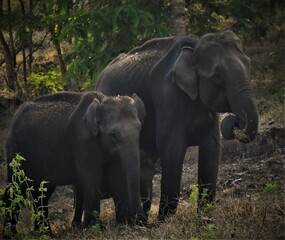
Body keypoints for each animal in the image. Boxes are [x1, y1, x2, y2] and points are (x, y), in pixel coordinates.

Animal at [3, 91, 146, 235]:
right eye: (113, 135)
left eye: (140, 130)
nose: (139, 222)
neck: (102, 101)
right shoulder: (82, 140)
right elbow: (92, 177)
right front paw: (96, 229)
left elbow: (117, 175)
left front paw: (122, 224)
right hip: (15, 152)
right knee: (15, 187)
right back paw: (12, 234)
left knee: (42, 191)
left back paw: (45, 233)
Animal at [95, 30, 258, 221]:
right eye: (217, 75)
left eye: (249, 64)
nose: (233, 121)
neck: (194, 47)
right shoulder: (167, 96)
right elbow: (173, 149)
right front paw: (164, 220)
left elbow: (211, 149)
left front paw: (204, 217)